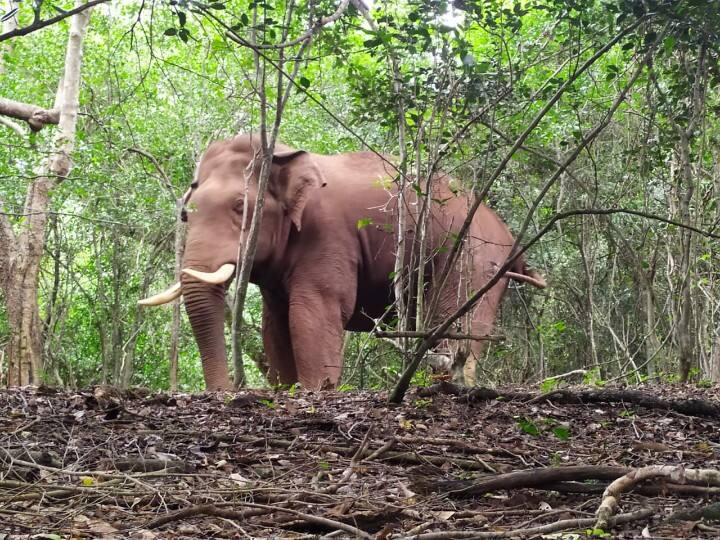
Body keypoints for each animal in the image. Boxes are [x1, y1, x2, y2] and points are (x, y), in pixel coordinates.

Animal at [139, 133, 544, 390]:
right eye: (185, 214)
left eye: (240, 206)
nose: (225, 391)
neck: (283, 151)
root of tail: (511, 238)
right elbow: (276, 324)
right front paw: (288, 388)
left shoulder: (328, 233)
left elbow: (315, 310)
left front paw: (317, 389)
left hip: (473, 256)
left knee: (457, 318)